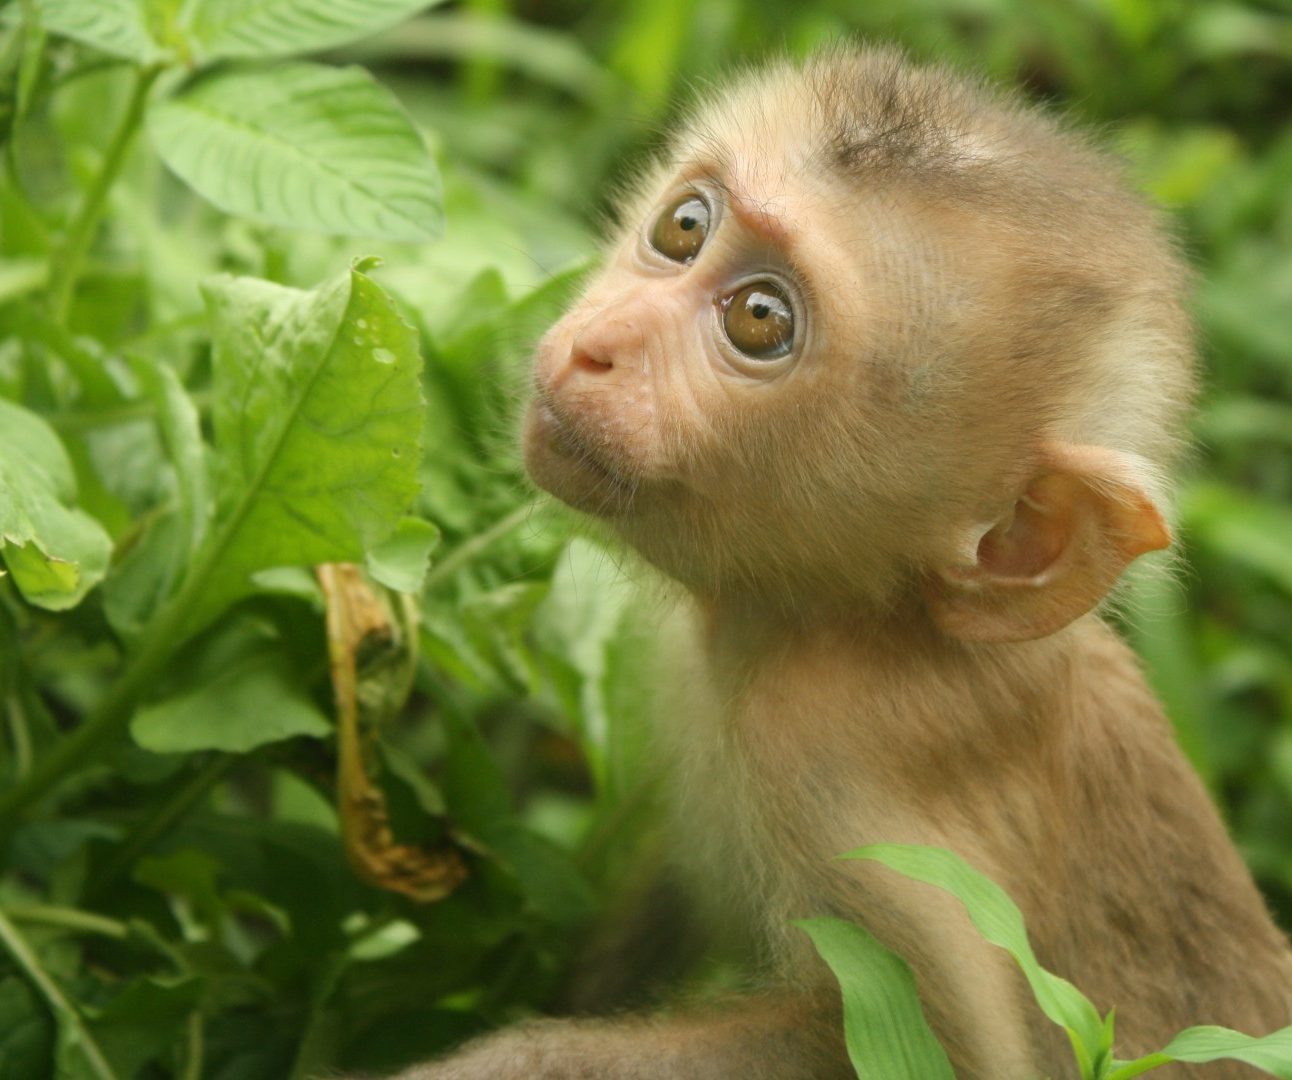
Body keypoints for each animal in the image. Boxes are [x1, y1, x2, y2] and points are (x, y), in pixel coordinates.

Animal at [397, 46, 1286, 1074]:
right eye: (684, 227)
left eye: (759, 320)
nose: (596, 347)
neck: (857, 621)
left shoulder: (834, 763)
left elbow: (929, 1044)